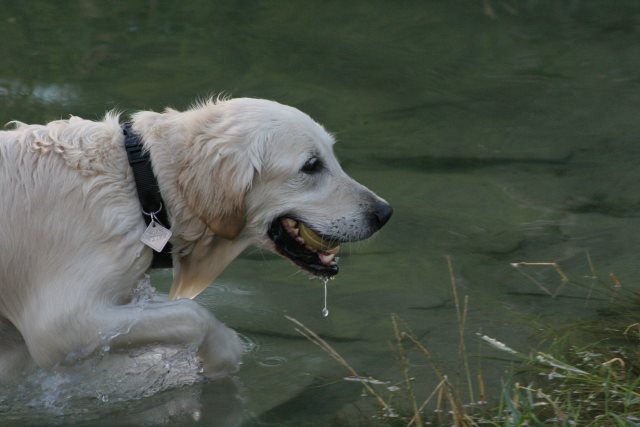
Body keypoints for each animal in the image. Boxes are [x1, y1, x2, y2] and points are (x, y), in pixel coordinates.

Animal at [0, 99, 392, 382]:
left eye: (331, 156)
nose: (384, 213)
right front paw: (223, 354)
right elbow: (192, 314)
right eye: (311, 166)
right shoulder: (60, 323)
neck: (141, 187)